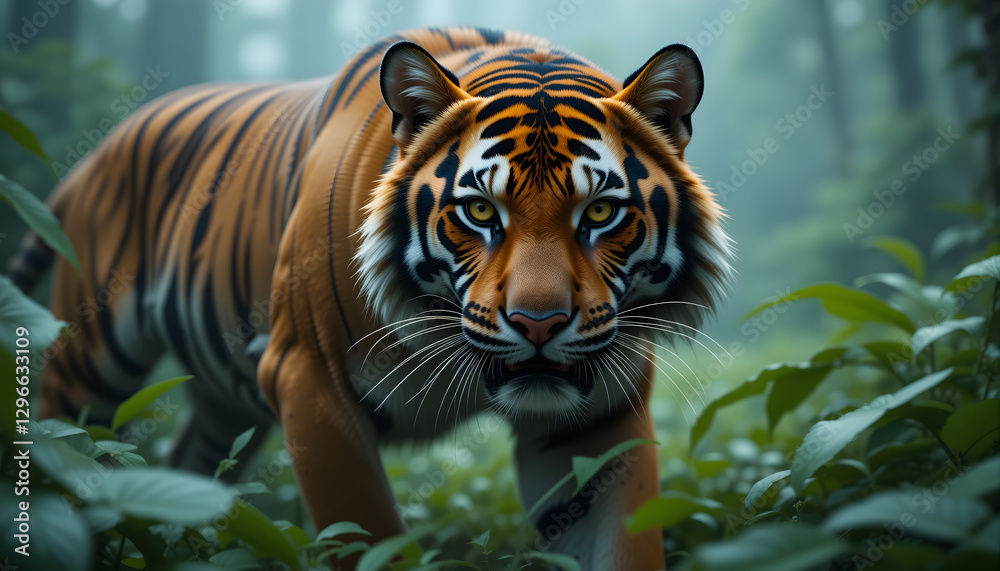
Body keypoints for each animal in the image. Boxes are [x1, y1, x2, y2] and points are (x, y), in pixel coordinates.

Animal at [9, 26, 732, 570]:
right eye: (479, 211)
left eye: (601, 212)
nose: (539, 323)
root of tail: (95, 153)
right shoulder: (307, 380)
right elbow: (365, 534)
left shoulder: (596, 418)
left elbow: (623, 539)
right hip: (90, 364)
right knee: (64, 449)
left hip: (223, 403)